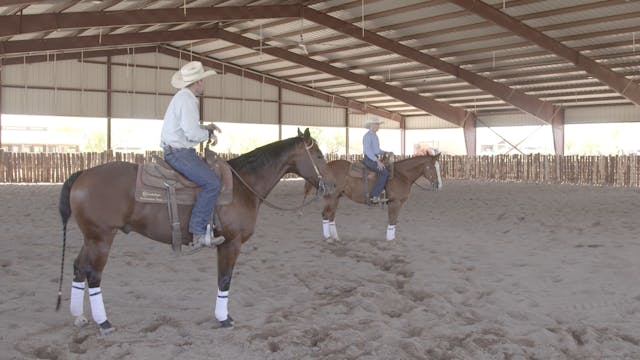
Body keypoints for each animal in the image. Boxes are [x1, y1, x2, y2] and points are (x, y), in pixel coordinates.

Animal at [55, 128, 330, 334]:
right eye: (317, 155)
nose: (328, 186)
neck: (242, 185)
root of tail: (83, 174)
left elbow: (221, 279)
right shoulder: (231, 243)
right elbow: (225, 279)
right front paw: (224, 318)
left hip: (91, 237)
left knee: (78, 267)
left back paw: (79, 317)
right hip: (101, 238)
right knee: (93, 275)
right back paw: (104, 322)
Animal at [304, 149, 440, 242]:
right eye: (433, 167)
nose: (439, 185)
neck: (401, 175)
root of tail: (325, 168)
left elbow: (394, 220)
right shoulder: (394, 203)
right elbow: (392, 220)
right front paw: (390, 240)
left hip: (336, 198)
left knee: (331, 216)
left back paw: (336, 237)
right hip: (331, 198)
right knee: (325, 215)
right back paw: (328, 238)